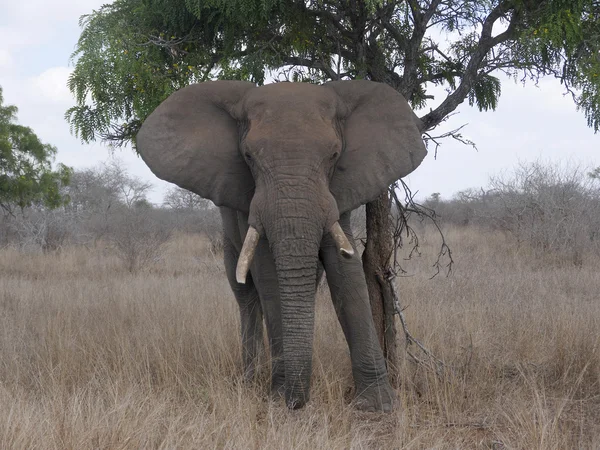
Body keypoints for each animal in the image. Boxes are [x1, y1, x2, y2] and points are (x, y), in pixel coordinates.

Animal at [136, 80, 426, 412]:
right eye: (248, 156)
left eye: (334, 155)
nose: (297, 402)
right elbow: (269, 277)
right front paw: (278, 397)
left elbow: (347, 276)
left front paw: (377, 406)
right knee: (247, 297)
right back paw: (251, 379)